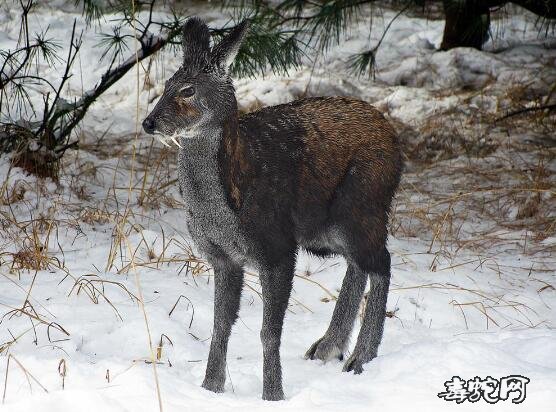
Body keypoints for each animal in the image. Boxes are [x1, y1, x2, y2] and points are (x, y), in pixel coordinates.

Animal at [141, 17, 402, 400]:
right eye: (165, 86)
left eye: (188, 90)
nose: (149, 122)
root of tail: (394, 138)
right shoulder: (222, 257)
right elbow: (220, 325)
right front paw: (210, 388)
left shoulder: (277, 248)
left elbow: (269, 331)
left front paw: (273, 394)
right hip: (323, 229)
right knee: (360, 263)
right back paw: (328, 347)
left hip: (361, 205)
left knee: (380, 261)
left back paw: (360, 357)